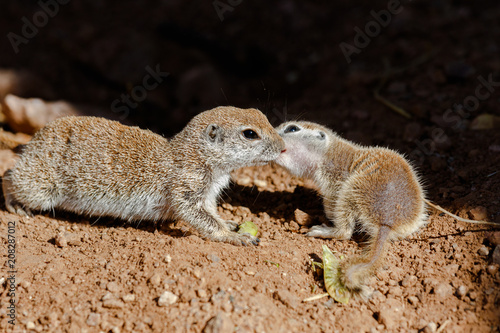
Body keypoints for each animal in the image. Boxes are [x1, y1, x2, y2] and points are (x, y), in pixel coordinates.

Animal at [2, 105, 286, 245]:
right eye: (250, 133)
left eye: (261, 115)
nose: (283, 146)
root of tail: (37, 138)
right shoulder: (186, 186)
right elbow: (195, 215)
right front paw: (233, 236)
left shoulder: (206, 194)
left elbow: (210, 212)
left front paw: (229, 223)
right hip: (39, 187)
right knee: (8, 175)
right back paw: (14, 203)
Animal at [276, 120, 498, 296]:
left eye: (292, 128)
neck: (332, 152)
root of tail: (387, 220)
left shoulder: (333, 182)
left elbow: (332, 205)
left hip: (353, 188)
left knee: (344, 231)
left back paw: (323, 230)